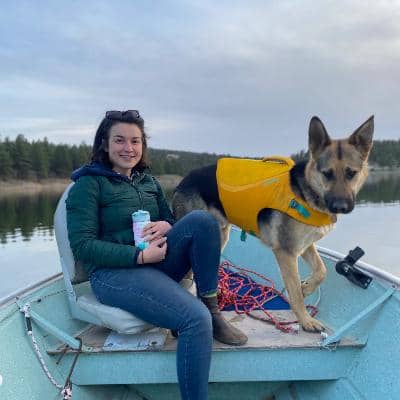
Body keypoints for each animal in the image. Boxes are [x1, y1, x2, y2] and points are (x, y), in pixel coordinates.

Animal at [172, 116, 374, 332]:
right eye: (327, 173)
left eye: (351, 173)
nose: (341, 206)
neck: (306, 192)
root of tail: (182, 181)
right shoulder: (287, 252)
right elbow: (294, 294)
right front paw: (305, 320)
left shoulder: (305, 245)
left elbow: (322, 271)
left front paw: (307, 287)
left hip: (220, 236)